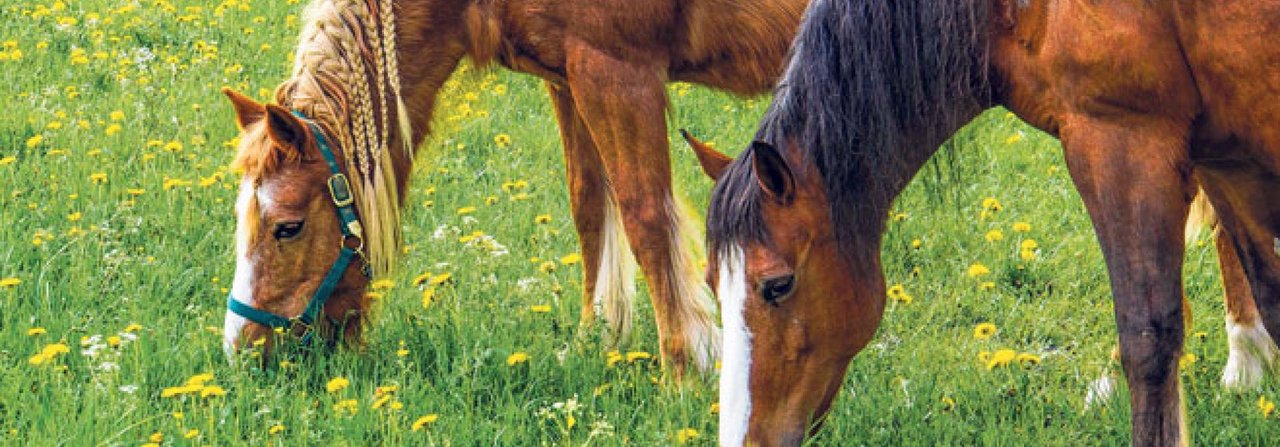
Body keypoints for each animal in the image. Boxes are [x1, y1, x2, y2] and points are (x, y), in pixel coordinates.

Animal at [215, 0, 803, 371]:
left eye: (287, 227)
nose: (243, 352)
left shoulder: (617, 72)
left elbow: (646, 220)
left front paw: (685, 372)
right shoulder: (569, 78)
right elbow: (590, 206)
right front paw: (596, 341)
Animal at [696, 0, 1280, 443]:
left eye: (777, 285)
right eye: (711, 284)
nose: (743, 440)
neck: (1016, 10)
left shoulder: (1124, 142)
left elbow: (1149, 343)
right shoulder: (1225, 161)